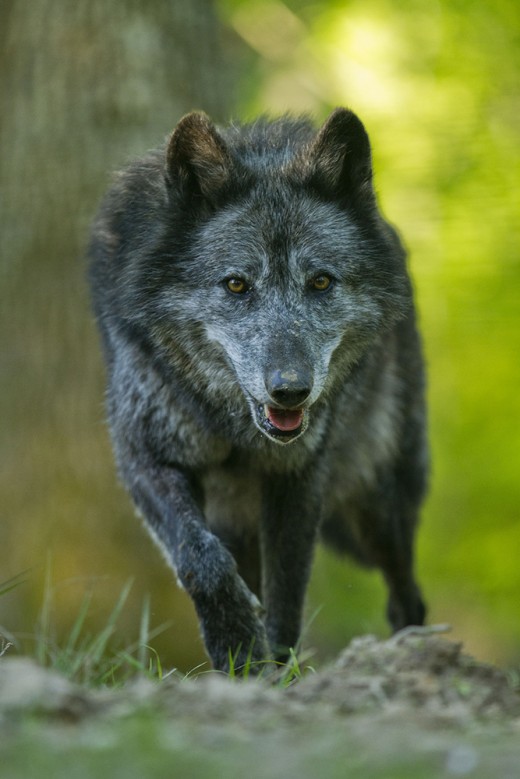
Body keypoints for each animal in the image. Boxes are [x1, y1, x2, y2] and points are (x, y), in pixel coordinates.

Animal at [89, 106, 428, 672]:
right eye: (236, 284)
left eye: (320, 282)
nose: (290, 390)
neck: (230, 424)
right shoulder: (146, 462)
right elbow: (201, 560)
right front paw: (237, 651)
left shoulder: (297, 479)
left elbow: (286, 597)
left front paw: (275, 669)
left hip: (379, 503)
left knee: (407, 593)